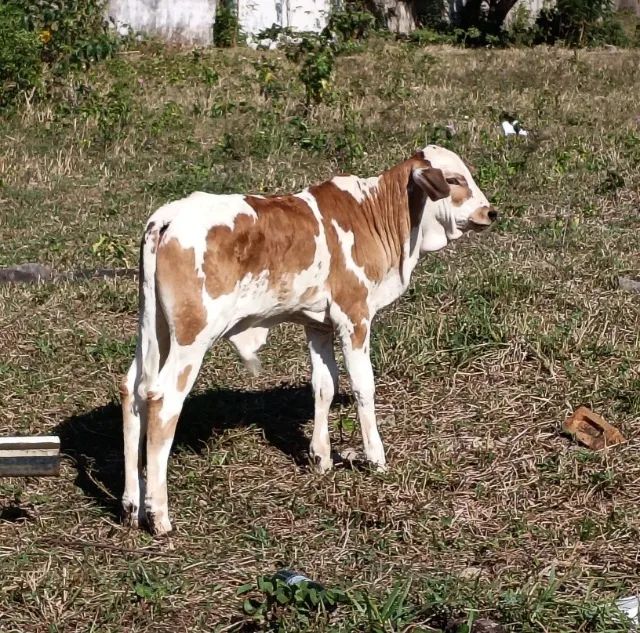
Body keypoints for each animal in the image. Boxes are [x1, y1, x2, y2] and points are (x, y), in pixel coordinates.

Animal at [119, 144, 496, 534]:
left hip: (155, 328)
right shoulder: (353, 316)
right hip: (192, 337)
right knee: (163, 402)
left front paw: (321, 457)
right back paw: (159, 515)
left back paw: (132, 505)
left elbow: (324, 384)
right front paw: (375, 457)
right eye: (454, 179)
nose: (491, 212)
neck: (375, 213)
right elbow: (363, 385)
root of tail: (170, 215)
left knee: (133, 390)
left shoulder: (318, 325)